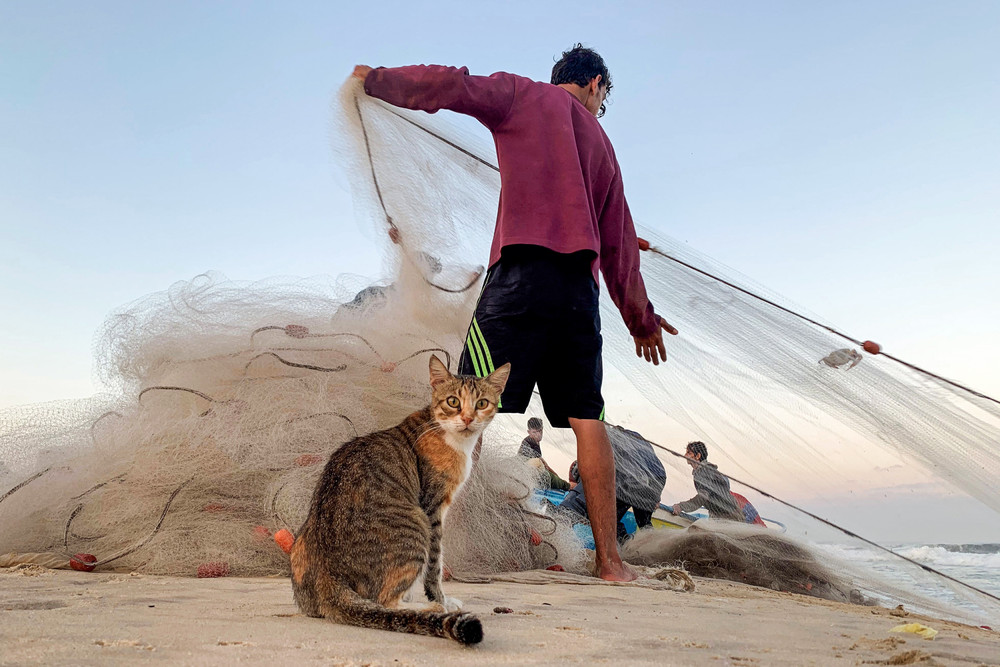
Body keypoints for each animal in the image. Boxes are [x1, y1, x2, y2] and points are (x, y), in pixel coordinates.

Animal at [290, 352, 508, 644]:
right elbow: (435, 567)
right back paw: (428, 608)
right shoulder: (433, 509)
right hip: (416, 523)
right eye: (453, 401)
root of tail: (330, 574)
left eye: (482, 403)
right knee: (385, 601)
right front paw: (440, 600)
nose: (467, 419)